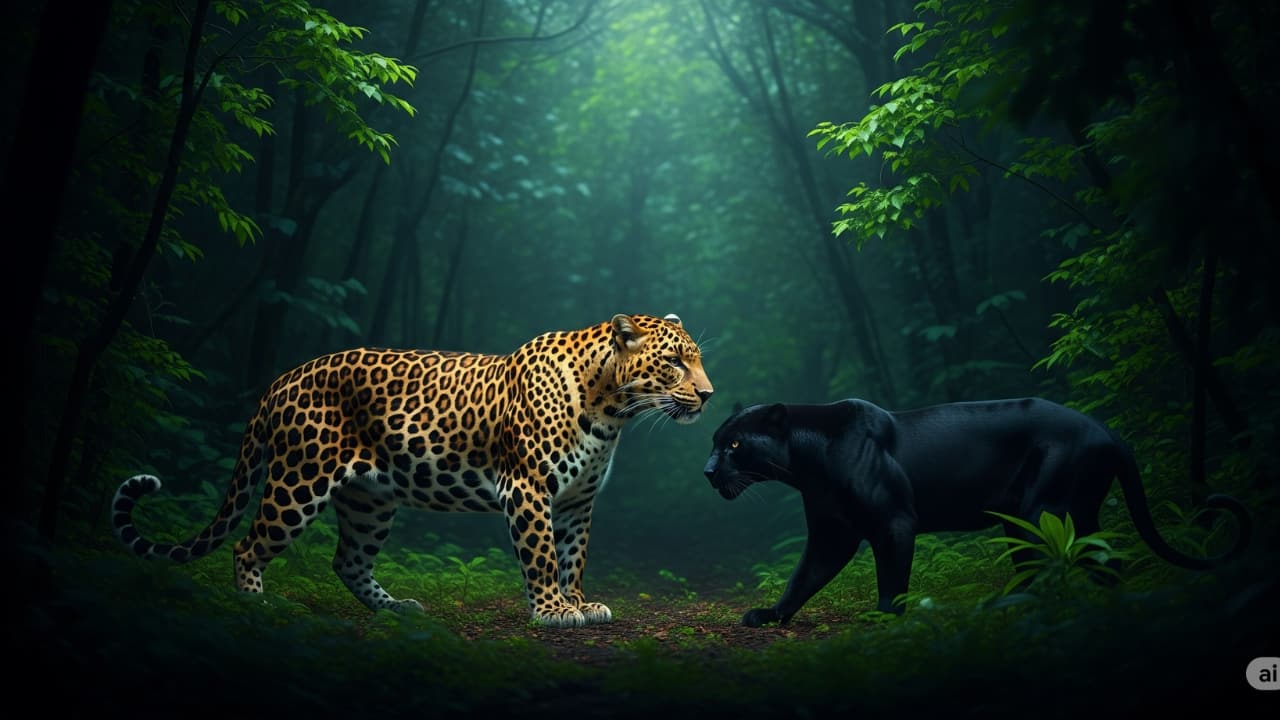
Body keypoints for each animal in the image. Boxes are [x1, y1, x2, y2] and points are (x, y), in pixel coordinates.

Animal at [112, 313, 713, 627]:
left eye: (698, 359)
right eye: (674, 361)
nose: (708, 395)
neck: (612, 409)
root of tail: (281, 380)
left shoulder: (576, 503)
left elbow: (573, 558)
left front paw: (579, 603)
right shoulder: (528, 489)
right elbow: (542, 556)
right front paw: (551, 611)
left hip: (369, 500)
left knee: (347, 561)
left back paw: (398, 609)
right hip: (298, 480)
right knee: (247, 544)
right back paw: (254, 606)